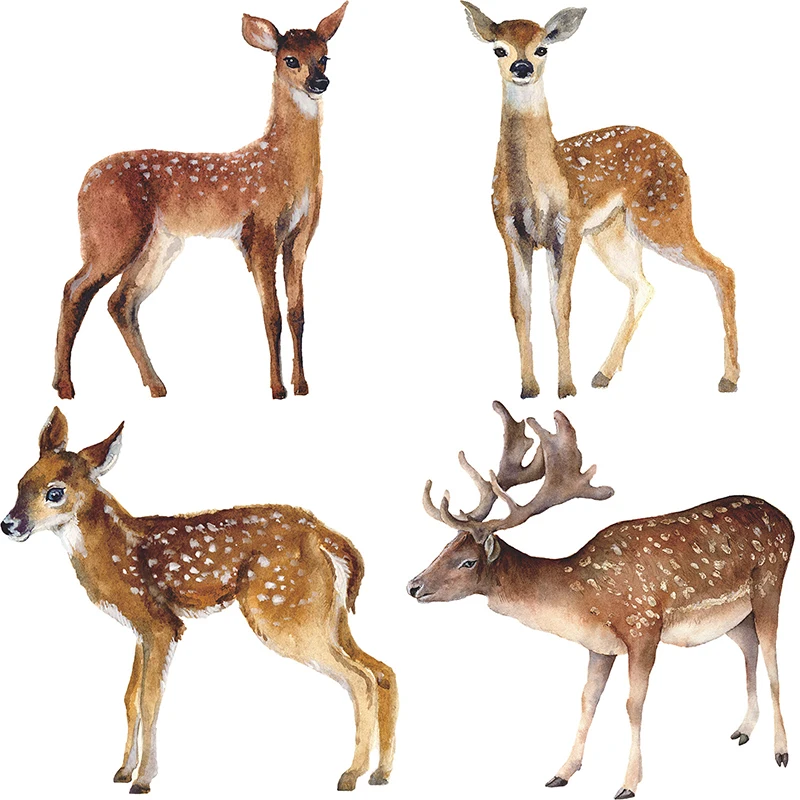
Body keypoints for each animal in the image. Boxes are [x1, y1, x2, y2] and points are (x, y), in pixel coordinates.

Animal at [1, 408, 398, 793]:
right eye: (20, 483)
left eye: (55, 493)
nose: (9, 524)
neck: (116, 551)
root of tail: (327, 536)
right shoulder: (141, 629)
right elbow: (130, 697)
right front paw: (123, 771)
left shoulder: (162, 623)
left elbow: (149, 698)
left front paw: (143, 779)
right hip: (329, 616)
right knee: (382, 670)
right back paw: (380, 774)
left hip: (283, 611)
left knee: (360, 678)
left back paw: (350, 775)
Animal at [53, 4, 348, 400]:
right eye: (290, 60)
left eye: (324, 57)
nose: (320, 83)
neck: (283, 167)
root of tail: (85, 181)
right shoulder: (258, 230)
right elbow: (270, 314)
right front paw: (277, 389)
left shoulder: (301, 235)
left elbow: (297, 313)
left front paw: (301, 386)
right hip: (112, 234)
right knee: (75, 289)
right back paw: (65, 387)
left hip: (159, 245)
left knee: (120, 302)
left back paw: (155, 385)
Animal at [408, 401, 792, 798]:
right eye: (444, 547)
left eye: (467, 562)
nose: (413, 586)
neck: (582, 597)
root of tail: (785, 518)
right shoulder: (599, 645)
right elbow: (587, 700)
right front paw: (562, 772)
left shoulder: (644, 627)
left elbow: (633, 704)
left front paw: (628, 783)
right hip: (735, 617)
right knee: (749, 647)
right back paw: (743, 730)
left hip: (770, 584)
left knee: (773, 659)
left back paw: (780, 752)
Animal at [460, 3, 739, 398]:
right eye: (499, 49)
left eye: (542, 48)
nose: (522, 67)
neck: (538, 186)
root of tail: (673, 151)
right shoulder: (510, 233)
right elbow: (520, 308)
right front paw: (529, 388)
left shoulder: (568, 227)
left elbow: (561, 305)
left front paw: (565, 387)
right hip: (612, 233)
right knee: (644, 285)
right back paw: (603, 373)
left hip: (663, 215)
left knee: (721, 270)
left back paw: (728, 378)